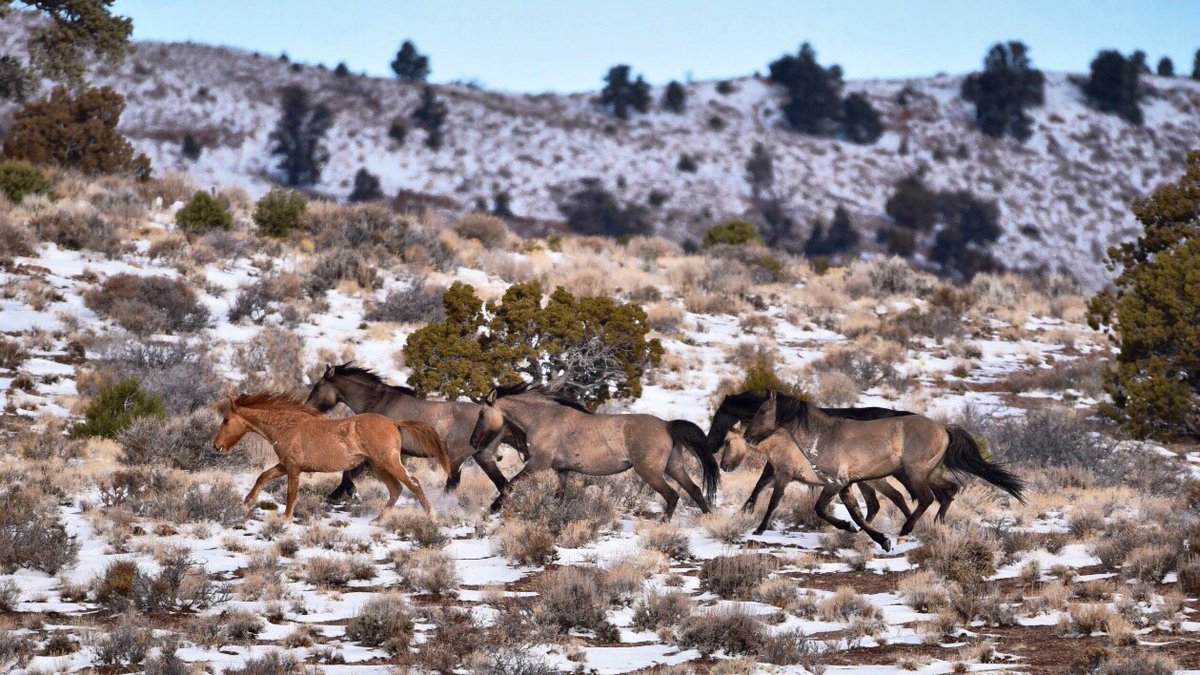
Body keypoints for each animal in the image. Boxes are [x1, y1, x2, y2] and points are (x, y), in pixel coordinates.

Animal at [211, 391, 451, 516]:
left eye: (226, 420)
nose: (216, 446)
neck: (288, 426)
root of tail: (394, 422)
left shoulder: (293, 468)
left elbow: (291, 494)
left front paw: (285, 520)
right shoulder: (285, 465)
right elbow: (263, 476)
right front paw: (246, 503)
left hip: (389, 462)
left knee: (413, 484)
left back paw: (431, 517)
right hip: (379, 466)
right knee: (396, 489)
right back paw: (378, 521)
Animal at [304, 362, 516, 499]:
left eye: (318, 386)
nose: (307, 408)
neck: (378, 402)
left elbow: (349, 473)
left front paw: (346, 494)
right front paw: (337, 495)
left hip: (460, 458)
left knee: (461, 484)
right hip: (479, 457)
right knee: (501, 485)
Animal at [468, 381, 715, 516]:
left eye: (482, 414)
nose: (473, 442)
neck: (543, 418)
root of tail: (667, 425)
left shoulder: (538, 463)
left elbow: (511, 484)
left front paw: (494, 507)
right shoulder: (562, 470)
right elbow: (559, 497)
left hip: (650, 472)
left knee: (673, 495)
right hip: (674, 466)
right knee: (694, 490)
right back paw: (707, 518)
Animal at [734, 391, 1027, 550]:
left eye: (763, 410)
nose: (748, 436)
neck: (824, 435)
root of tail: (943, 428)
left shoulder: (834, 483)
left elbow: (822, 509)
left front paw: (858, 531)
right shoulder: (846, 485)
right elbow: (859, 513)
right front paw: (876, 538)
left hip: (914, 474)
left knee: (926, 498)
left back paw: (906, 531)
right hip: (928, 473)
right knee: (948, 491)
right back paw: (937, 524)